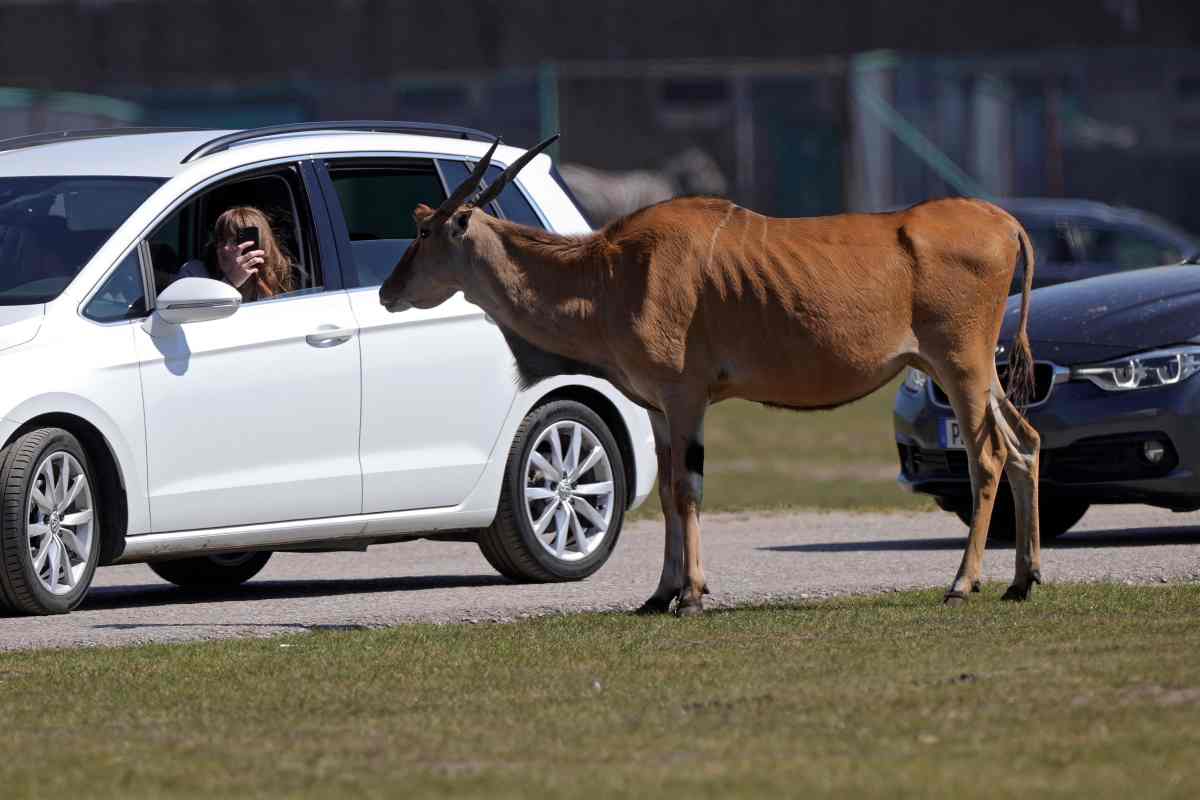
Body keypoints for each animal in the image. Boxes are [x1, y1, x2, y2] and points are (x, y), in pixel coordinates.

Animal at [376, 137, 1041, 618]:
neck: (610, 270)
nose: (387, 291)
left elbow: (688, 488)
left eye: (424, 231)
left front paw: (692, 595)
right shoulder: (658, 407)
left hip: (961, 366)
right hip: (977, 375)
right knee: (1025, 444)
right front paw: (659, 594)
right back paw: (1023, 580)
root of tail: (1006, 225)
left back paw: (963, 583)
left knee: (988, 456)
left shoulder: (686, 396)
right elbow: (670, 492)